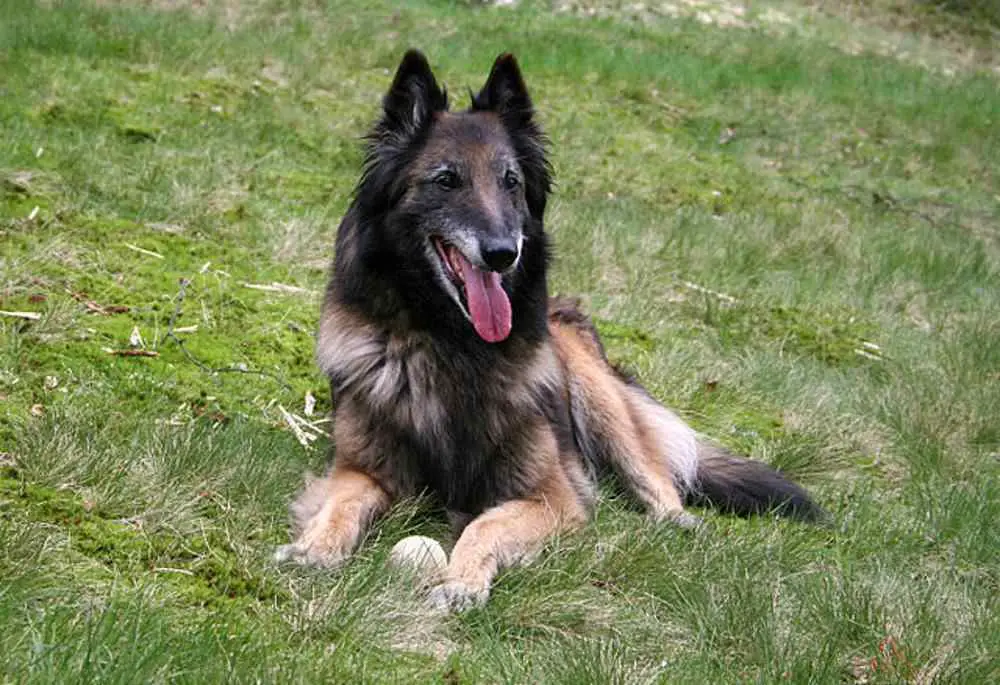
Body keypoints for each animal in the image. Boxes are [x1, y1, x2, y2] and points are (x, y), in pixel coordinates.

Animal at [274, 52, 820, 608]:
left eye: (511, 182)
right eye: (446, 180)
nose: (503, 252)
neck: (449, 341)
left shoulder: (552, 496)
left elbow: (485, 525)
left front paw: (460, 581)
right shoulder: (359, 469)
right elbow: (339, 505)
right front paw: (315, 548)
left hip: (596, 394)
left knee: (654, 474)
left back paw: (679, 522)